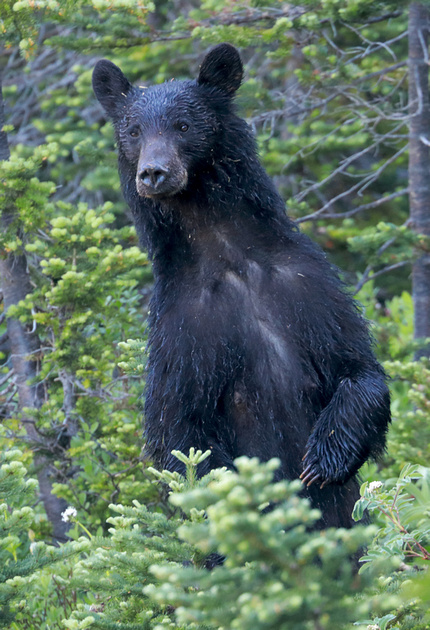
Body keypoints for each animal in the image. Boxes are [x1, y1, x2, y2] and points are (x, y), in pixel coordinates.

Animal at [92, 42, 392, 532]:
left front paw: (322, 461)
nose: (153, 173)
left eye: (183, 124)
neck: (228, 254)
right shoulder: (182, 325)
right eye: (133, 131)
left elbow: (360, 372)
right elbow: (178, 429)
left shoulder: (307, 286)